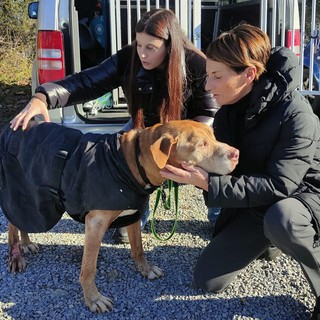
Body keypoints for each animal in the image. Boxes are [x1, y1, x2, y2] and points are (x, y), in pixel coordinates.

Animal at [0, 119, 239, 312]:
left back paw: (26, 242)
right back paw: (16, 254)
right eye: (201, 145)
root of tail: (11, 127)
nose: (236, 154)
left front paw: (145, 269)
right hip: (25, 191)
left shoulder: (133, 213)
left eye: (214, 137)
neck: (130, 162)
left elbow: (138, 248)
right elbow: (89, 268)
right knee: (12, 223)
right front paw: (93, 299)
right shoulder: (95, 223)